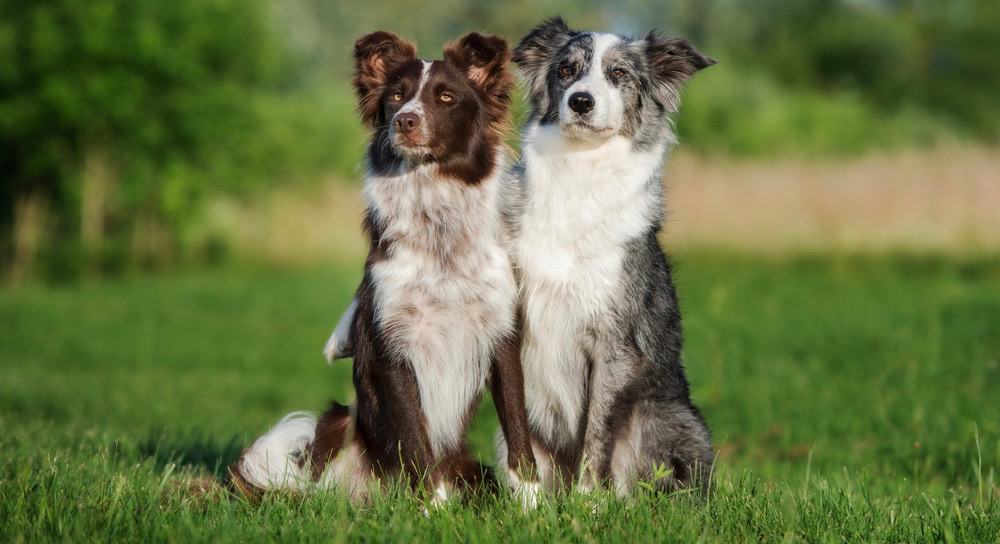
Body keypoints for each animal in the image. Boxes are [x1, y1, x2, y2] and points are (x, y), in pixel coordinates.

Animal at [230, 29, 540, 506]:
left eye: (446, 97)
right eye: (396, 96)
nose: (405, 121)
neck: (438, 233)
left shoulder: (502, 338)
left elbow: (519, 434)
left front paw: (532, 508)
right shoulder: (393, 346)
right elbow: (416, 440)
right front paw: (435, 510)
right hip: (338, 422)